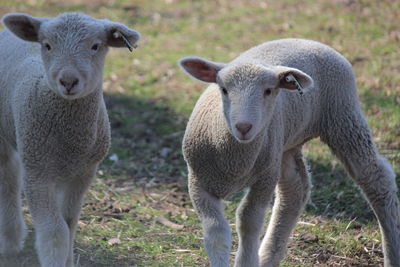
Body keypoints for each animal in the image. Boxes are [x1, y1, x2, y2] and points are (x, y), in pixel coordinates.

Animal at [0, 11, 141, 266]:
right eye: (47, 45)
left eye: (95, 46)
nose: (68, 81)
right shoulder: (37, 173)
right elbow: (55, 231)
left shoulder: (83, 173)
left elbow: (69, 223)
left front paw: (67, 260)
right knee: (8, 180)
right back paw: (10, 241)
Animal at [179, 38, 400, 267]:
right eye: (223, 89)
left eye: (268, 91)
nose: (243, 127)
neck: (235, 163)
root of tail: (309, 41)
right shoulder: (197, 182)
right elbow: (216, 232)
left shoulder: (264, 179)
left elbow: (248, 221)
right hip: (286, 143)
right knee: (295, 189)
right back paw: (267, 257)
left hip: (343, 117)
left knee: (377, 180)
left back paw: (392, 253)